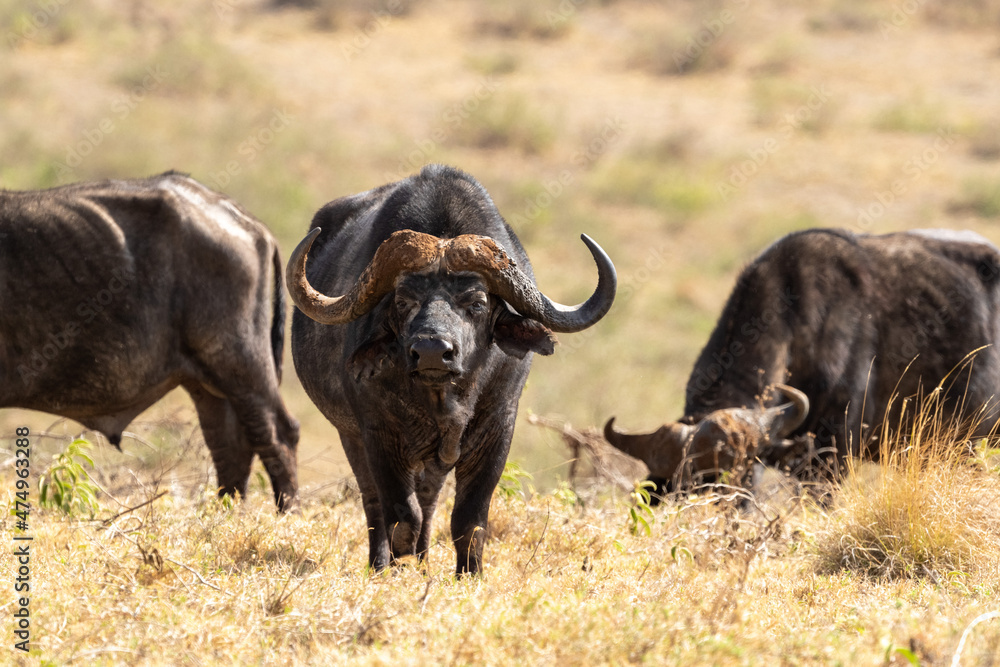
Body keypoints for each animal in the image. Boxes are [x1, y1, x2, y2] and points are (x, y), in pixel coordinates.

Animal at [1, 172, 299, 510]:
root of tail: (243, 219)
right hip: (205, 381)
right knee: (230, 444)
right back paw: (225, 512)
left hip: (240, 361)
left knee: (279, 434)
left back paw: (287, 513)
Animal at [288, 165, 616, 575]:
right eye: (403, 300)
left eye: (476, 303)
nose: (431, 352)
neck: (445, 402)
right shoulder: (377, 433)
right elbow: (401, 514)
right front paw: (399, 567)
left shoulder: (497, 429)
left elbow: (469, 518)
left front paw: (468, 575)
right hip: (350, 435)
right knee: (374, 502)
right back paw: (381, 563)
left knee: (428, 501)